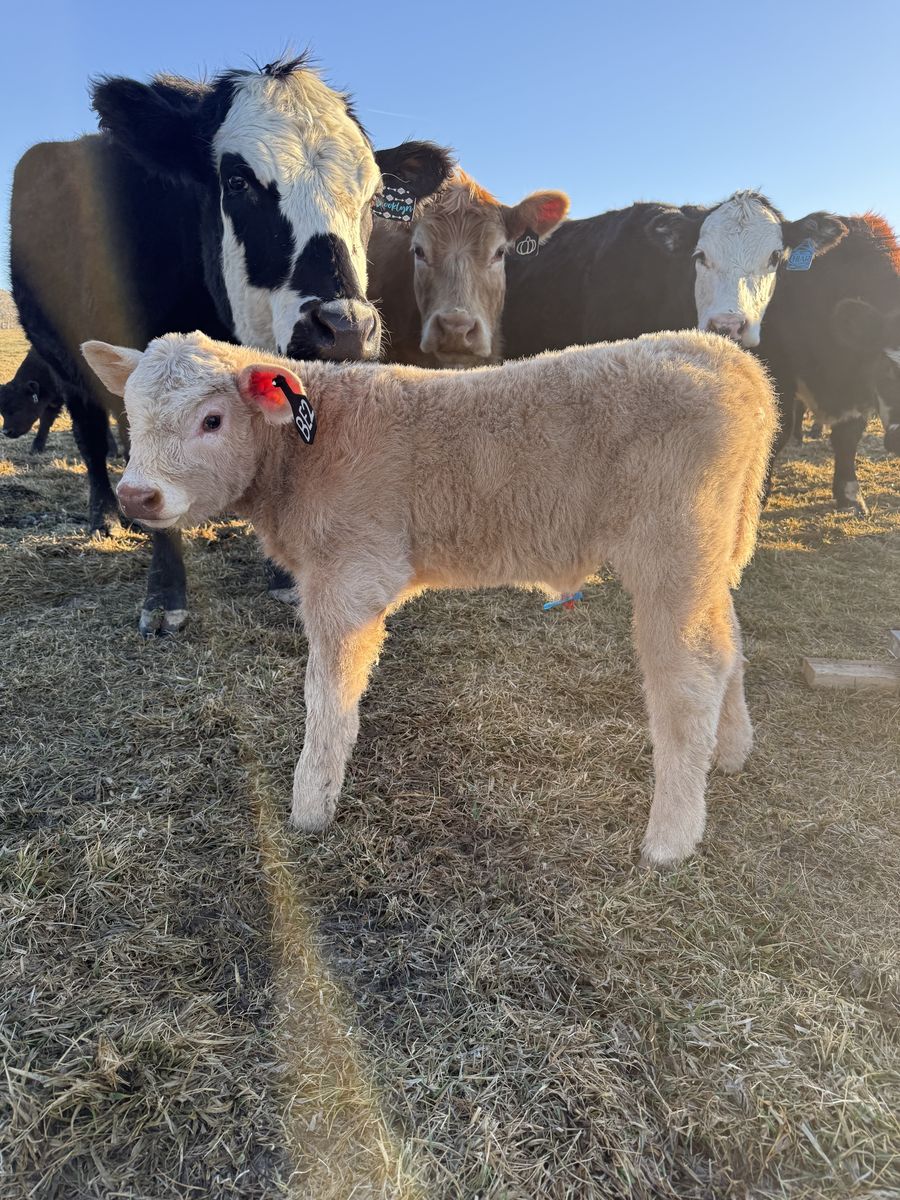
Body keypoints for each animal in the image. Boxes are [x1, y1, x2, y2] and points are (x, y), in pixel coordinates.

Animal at [11, 54, 453, 633]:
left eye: (375, 196)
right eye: (238, 180)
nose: (345, 330)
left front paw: (283, 576)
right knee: (89, 436)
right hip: (64, 365)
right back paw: (104, 518)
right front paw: (164, 596)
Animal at [82, 327, 777, 867]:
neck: (305, 447)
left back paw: (671, 838)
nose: (136, 495)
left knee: (690, 677)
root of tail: (732, 361)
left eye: (212, 419)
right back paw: (731, 753)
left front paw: (310, 806)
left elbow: (327, 698)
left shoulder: (348, 577)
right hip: (712, 557)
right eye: (132, 416)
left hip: (673, 551)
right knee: (730, 647)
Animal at [759, 213, 900, 514]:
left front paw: (850, 495)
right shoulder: (778, 366)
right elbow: (779, 428)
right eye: (887, 370)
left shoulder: (857, 387)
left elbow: (847, 438)